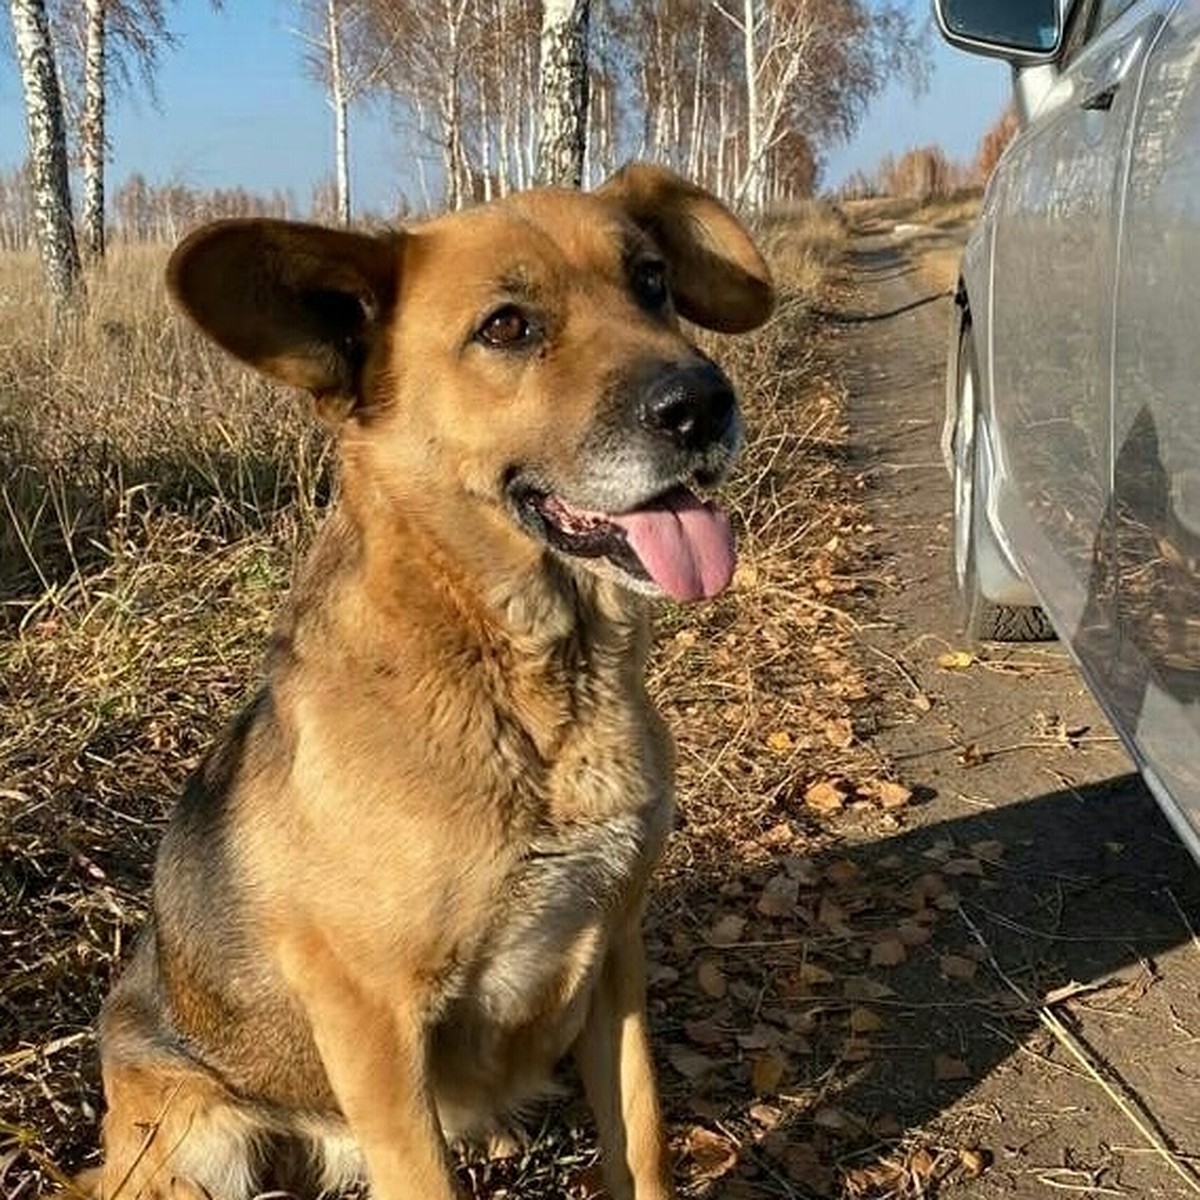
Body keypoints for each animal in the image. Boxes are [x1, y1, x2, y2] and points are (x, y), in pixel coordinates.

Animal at [87, 162, 777, 1200]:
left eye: (652, 281)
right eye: (508, 327)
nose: (703, 404)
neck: (531, 687)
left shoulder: (615, 954)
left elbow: (643, 1139)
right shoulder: (374, 1024)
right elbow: (425, 1175)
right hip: (201, 1137)